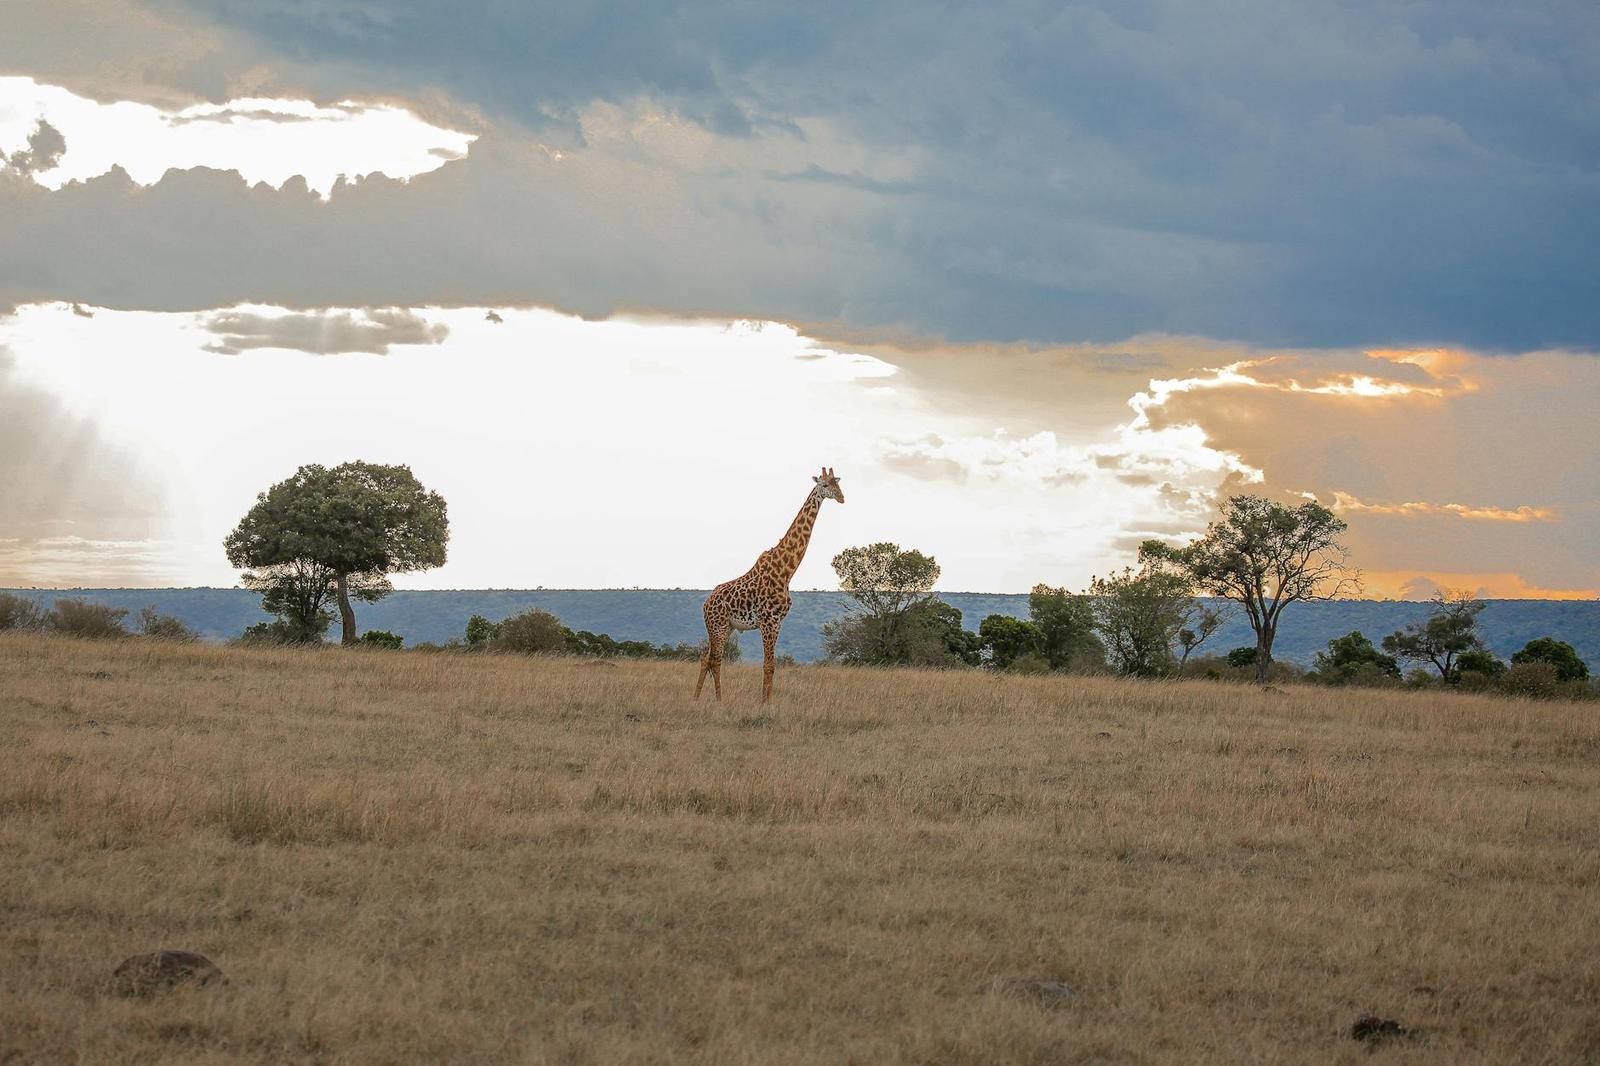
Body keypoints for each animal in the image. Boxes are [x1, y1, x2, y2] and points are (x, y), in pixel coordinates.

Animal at [695, 467, 844, 703]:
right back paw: (718, 700)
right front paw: (764, 703)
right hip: (717, 626)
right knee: (715, 660)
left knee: (706, 658)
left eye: (838, 484)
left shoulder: (778, 623)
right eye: (824, 485)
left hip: (727, 627)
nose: (841, 498)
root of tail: (706, 604)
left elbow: (772, 666)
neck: (786, 572)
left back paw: (697, 698)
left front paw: (769, 701)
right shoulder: (767, 622)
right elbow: (768, 666)